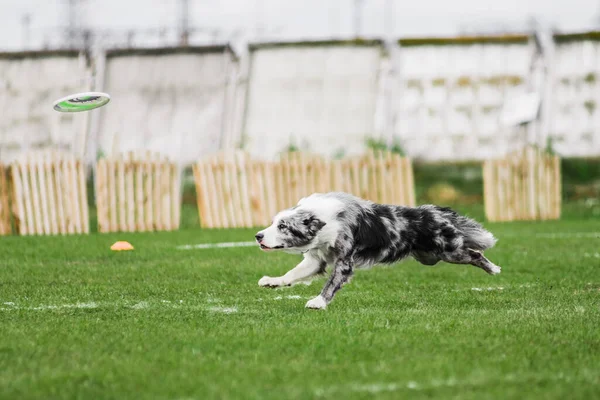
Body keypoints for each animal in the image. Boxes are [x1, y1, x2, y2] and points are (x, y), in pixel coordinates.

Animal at [255, 192, 500, 310]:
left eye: (283, 226)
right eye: (274, 223)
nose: (257, 236)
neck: (325, 220)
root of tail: (437, 212)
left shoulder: (345, 262)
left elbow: (330, 285)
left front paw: (318, 302)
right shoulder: (316, 259)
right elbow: (292, 274)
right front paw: (272, 281)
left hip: (448, 252)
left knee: (476, 253)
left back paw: (494, 268)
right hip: (429, 257)